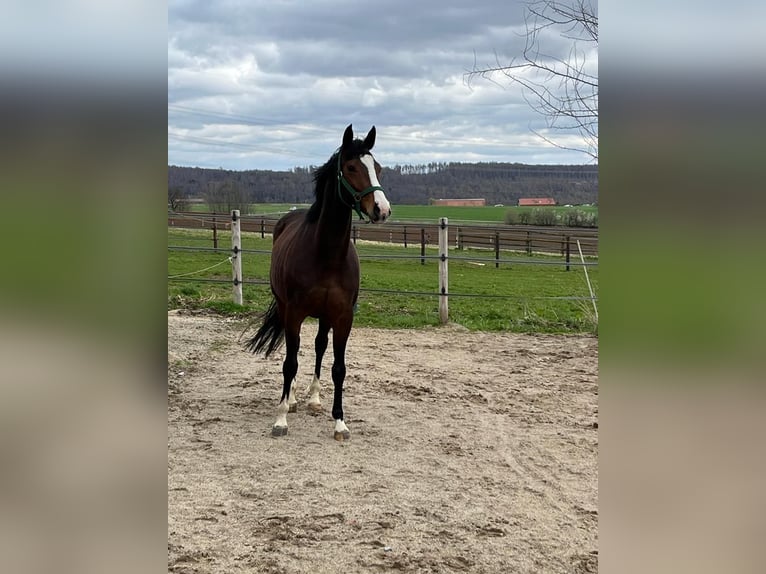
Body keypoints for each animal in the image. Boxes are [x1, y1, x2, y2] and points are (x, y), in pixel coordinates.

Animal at [244, 125, 390, 440]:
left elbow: (338, 367)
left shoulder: (343, 316)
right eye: (351, 167)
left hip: (324, 316)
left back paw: (313, 398)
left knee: (320, 346)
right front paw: (281, 418)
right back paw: (293, 399)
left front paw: (340, 422)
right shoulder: (295, 312)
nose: (382, 210)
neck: (327, 255)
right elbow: (290, 362)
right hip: (286, 309)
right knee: (294, 351)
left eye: (378, 169)